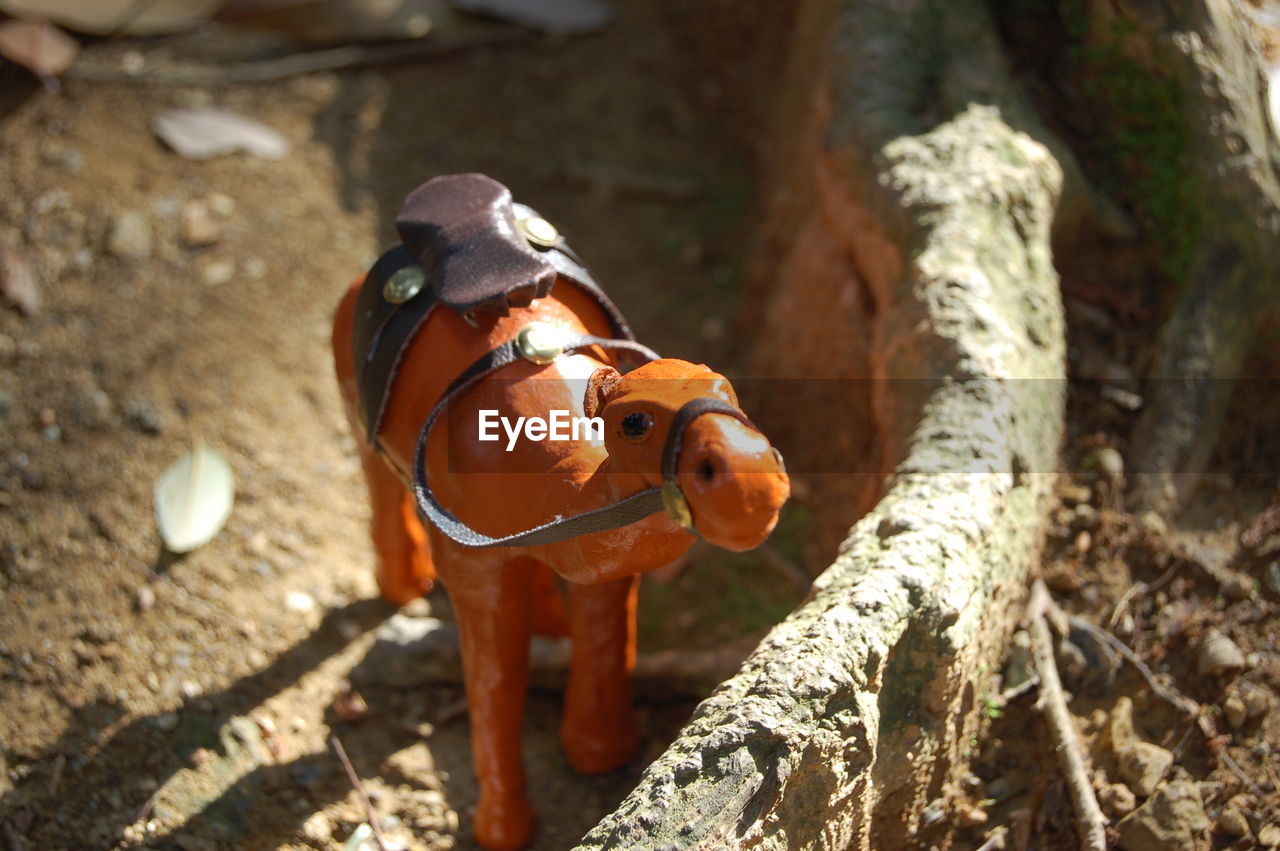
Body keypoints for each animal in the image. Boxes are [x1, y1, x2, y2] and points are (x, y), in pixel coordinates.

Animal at [330, 174, 783, 849]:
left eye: (727, 389)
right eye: (633, 422)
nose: (751, 480)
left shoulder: (596, 557)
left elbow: (604, 637)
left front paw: (600, 751)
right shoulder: (473, 567)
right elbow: (498, 680)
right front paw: (503, 826)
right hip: (351, 402)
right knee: (377, 479)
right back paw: (404, 586)